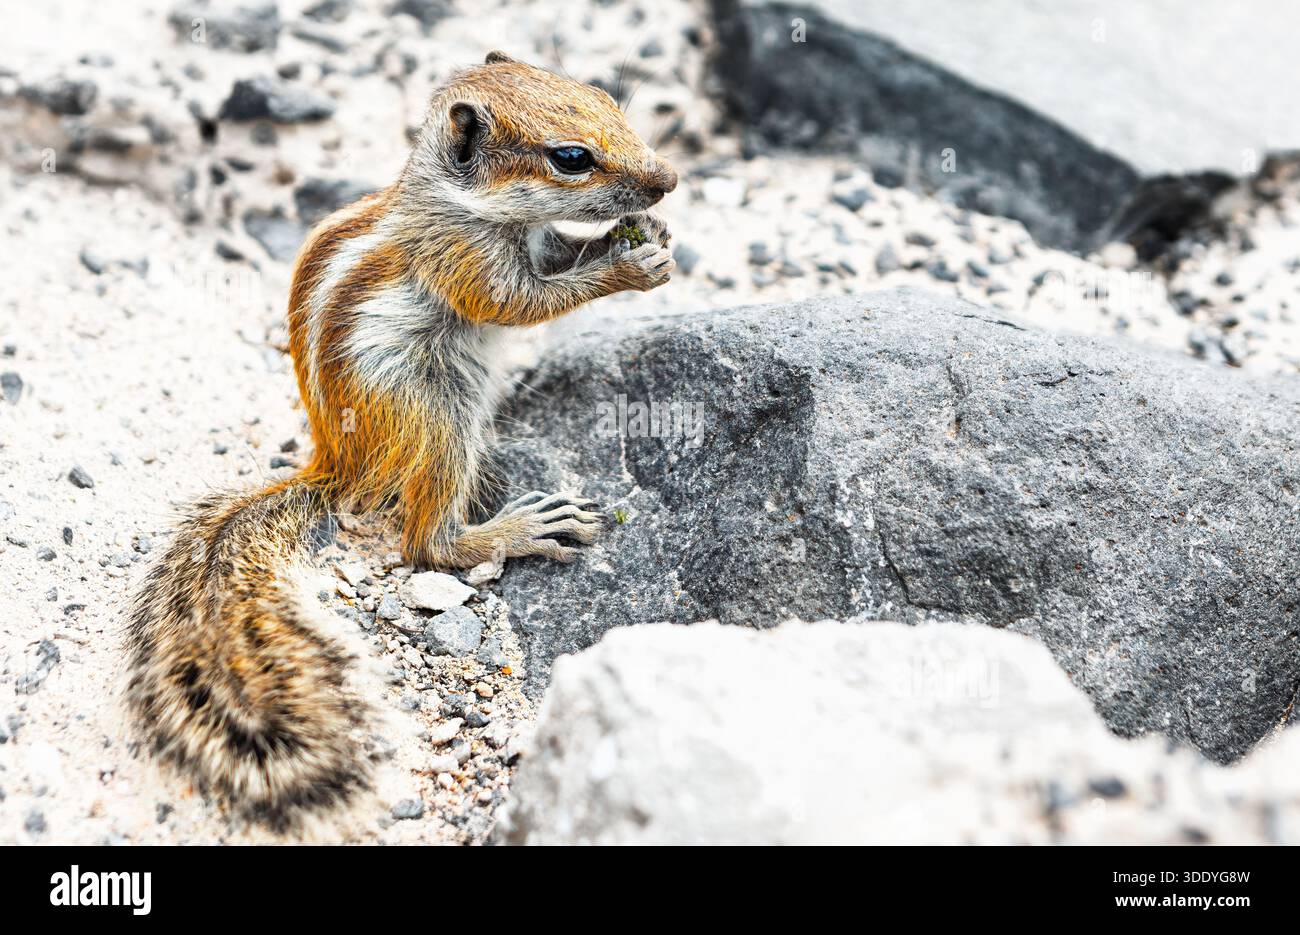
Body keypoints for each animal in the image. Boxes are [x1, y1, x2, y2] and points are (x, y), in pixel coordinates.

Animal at [125, 51, 678, 828]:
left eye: (605, 98)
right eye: (570, 158)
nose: (669, 179)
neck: (466, 203)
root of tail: (334, 463)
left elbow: (552, 260)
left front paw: (630, 234)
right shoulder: (461, 257)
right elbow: (521, 302)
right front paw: (629, 265)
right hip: (439, 412)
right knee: (427, 544)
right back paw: (513, 529)